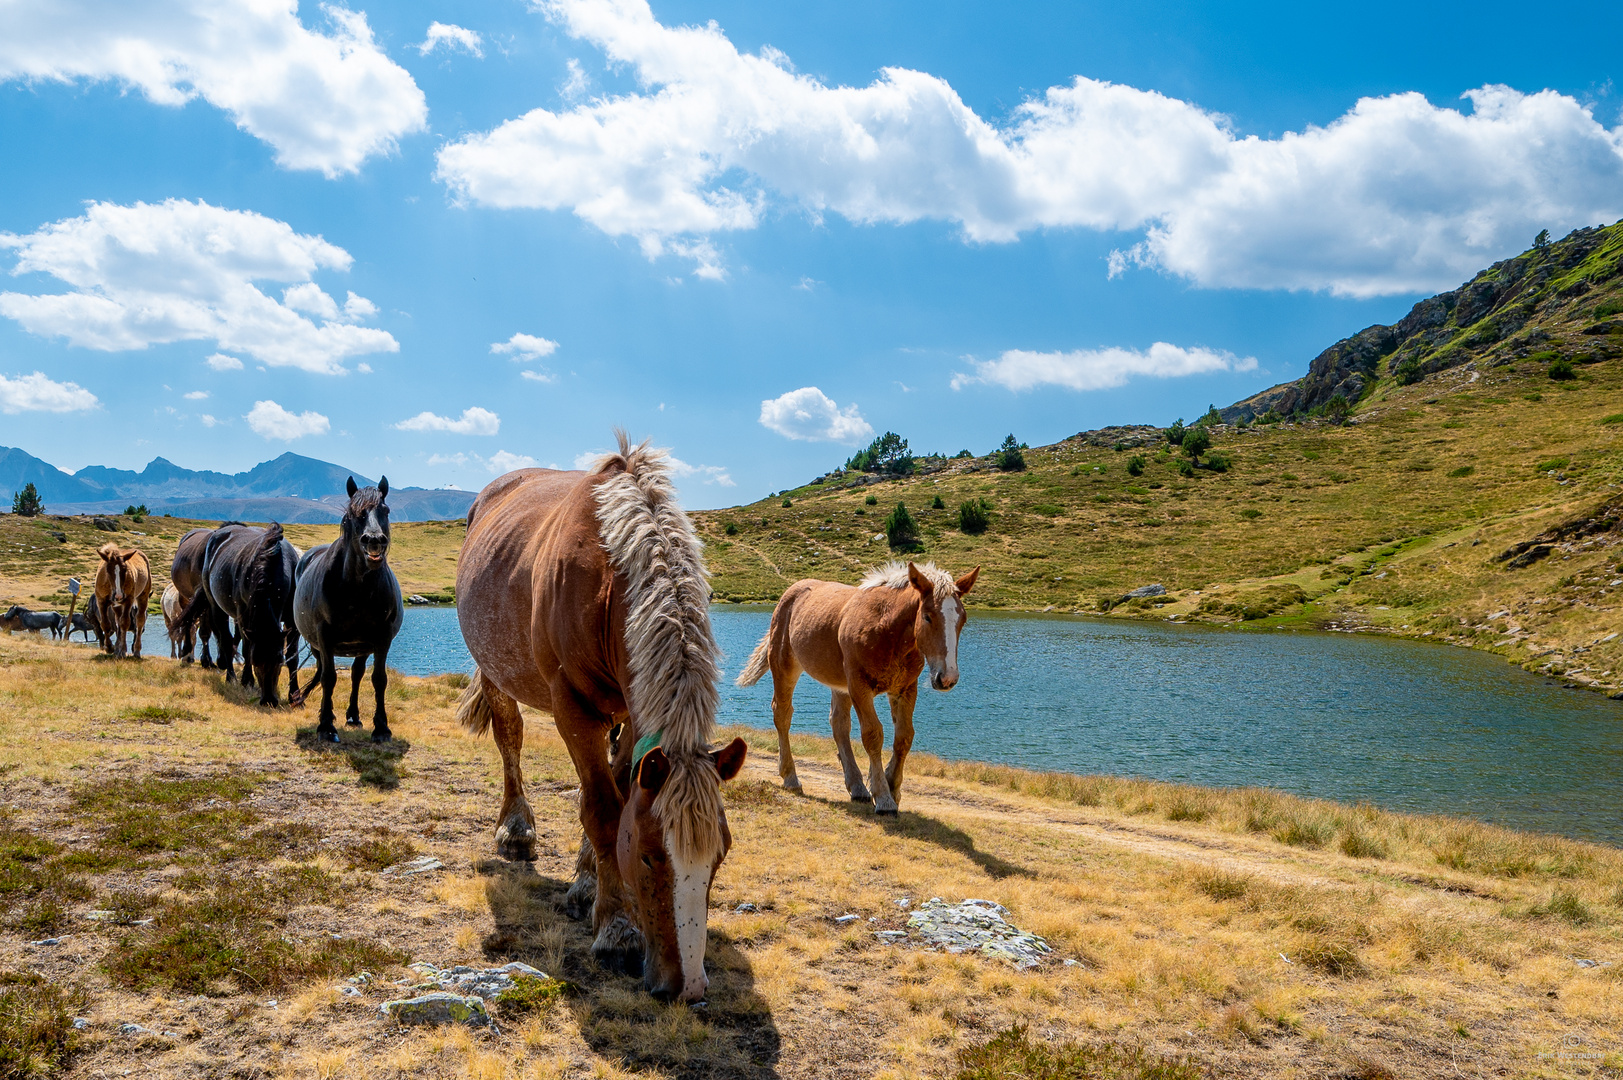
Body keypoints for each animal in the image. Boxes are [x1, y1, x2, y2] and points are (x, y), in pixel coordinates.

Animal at [179, 522, 303, 708]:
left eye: (279, 662)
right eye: (257, 662)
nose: (268, 700)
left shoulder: (291, 620)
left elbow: (292, 656)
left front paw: (295, 696)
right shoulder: (245, 617)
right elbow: (246, 650)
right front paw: (247, 681)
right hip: (216, 607)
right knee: (226, 640)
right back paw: (231, 677)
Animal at [295, 477, 402, 740]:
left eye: (385, 510)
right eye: (354, 513)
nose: (374, 540)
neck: (357, 589)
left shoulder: (382, 637)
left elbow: (379, 679)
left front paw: (381, 728)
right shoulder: (324, 636)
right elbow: (329, 677)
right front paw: (325, 726)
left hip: (361, 646)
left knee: (356, 674)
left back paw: (353, 716)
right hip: (318, 645)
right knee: (327, 673)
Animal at [451, 432, 743, 1000]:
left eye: (719, 856)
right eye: (650, 855)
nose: (689, 987)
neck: (610, 580)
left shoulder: (631, 712)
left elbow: (615, 791)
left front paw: (589, 886)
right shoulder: (574, 708)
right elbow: (604, 809)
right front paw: (617, 928)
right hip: (496, 672)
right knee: (510, 740)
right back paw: (516, 829)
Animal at [736, 558, 973, 812]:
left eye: (962, 619)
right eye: (928, 616)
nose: (947, 678)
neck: (887, 629)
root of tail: (789, 593)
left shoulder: (905, 688)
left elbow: (904, 737)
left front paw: (892, 785)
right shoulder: (859, 686)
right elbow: (873, 735)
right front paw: (884, 797)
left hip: (839, 684)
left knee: (838, 724)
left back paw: (857, 787)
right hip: (784, 667)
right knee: (782, 714)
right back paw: (790, 777)